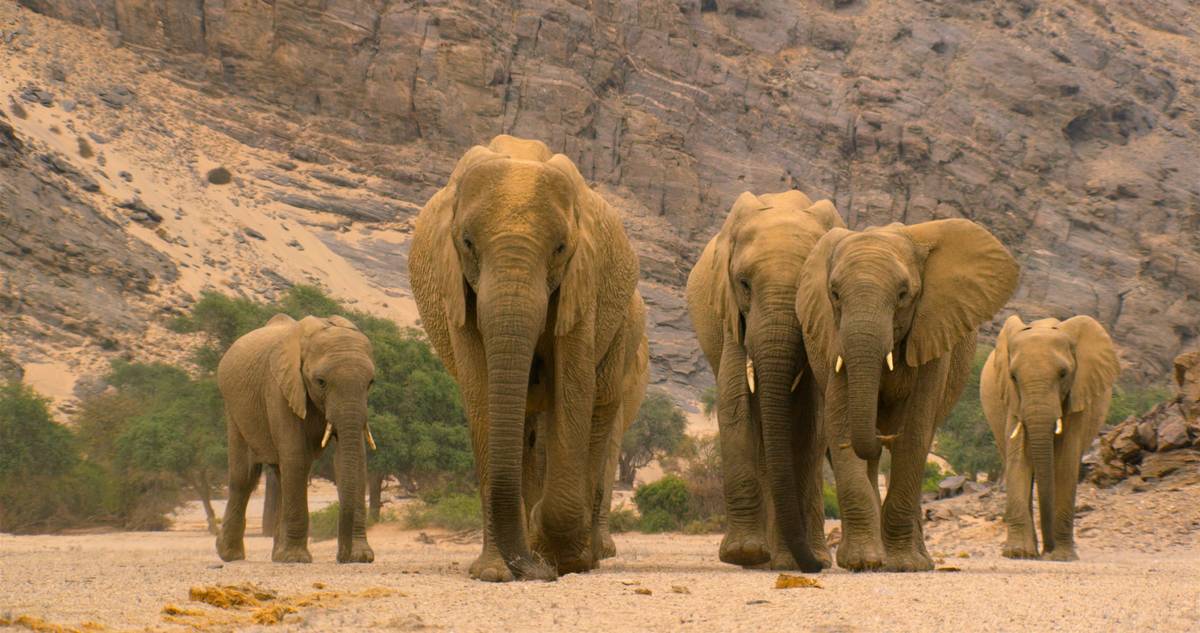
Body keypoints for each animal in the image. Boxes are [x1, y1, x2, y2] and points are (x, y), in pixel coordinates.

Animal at [216, 314, 374, 565]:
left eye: (370, 383)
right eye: (321, 382)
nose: (342, 556)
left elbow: (355, 459)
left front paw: (362, 557)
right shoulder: (280, 388)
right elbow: (296, 456)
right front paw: (296, 559)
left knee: (280, 475)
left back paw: (277, 555)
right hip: (233, 407)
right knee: (245, 476)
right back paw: (231, 555)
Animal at [408, 136, 648, 580]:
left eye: (560, 248)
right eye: (467, 243)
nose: (534, 570)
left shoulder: (582, 284)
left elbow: (573, 387)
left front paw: (557, 555)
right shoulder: (457, 292)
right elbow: (481, 391)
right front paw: (495, 573)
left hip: (623, 329)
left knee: (600, 409)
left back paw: (584, 556)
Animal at [686, 190, 844, 570]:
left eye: (807, 287)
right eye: (744, 284)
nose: (815, 568)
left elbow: (810, 422)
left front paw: (791, 561)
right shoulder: (730, 314)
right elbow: (734, 403)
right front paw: (745, 553)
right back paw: (763, 560)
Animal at [796, 220, 1022, 570]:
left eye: (903, 295)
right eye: (834, 294)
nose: (880, 436)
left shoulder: (933, 331)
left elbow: (915, 431)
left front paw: (903, 565)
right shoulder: (832, 340)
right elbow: (841, 422)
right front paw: (862, 562)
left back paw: (920, 560)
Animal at [979, 314, 1118, 558]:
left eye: (1063, 374)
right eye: (1013, 377)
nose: (1048, 549)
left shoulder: (1078, 393)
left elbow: (1065, 461)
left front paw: (1062, 557)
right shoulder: (1013, 400)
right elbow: (1019, 456)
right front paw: (1018, 553)